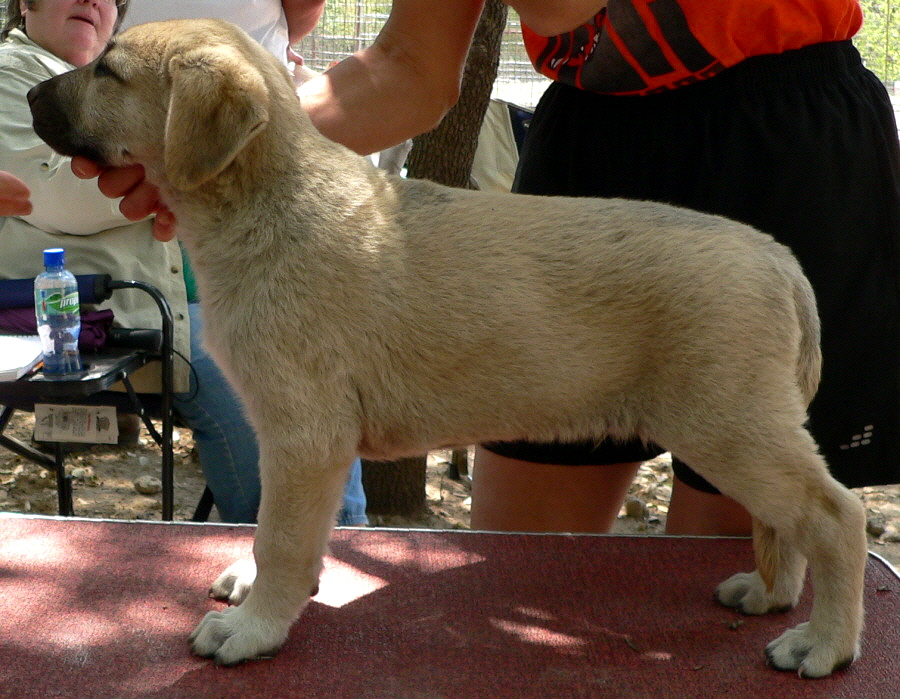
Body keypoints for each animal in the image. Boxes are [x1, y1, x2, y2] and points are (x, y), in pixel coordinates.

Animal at [31, 20, 868, 680]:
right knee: (793, 521)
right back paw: (770, 592)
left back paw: (823, 642)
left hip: (730, 424)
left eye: (107, 71)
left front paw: (255, 626)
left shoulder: (306, 436)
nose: (33, 97)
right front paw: (259, 591)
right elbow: (287, 532)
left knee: (836, 514)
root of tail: (779, 258)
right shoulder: (298, 441)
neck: (265, 200)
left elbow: (283, 535)